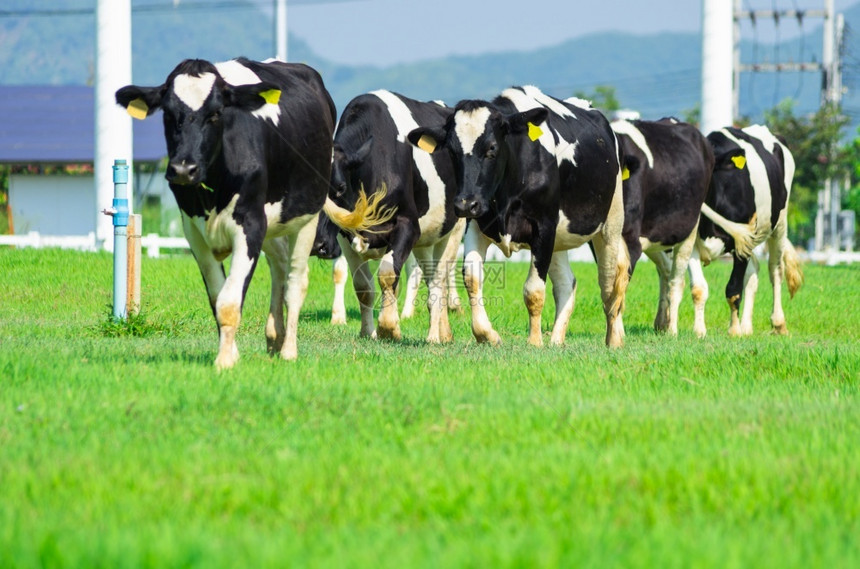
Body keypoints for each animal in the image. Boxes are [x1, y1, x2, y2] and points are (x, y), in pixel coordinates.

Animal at [116, 57, 336, 368]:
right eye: (168, 113)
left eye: (216, 113)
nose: (183, 169)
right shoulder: (193, 231)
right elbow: (216, 297)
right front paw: (231, 353)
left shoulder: (251, 225)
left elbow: (230, 301)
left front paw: (223, 362)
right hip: (274, 225)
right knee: (279, 269)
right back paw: (274, 336)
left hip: (307, 216)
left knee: (296, 281)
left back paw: (288, 350)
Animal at [322, 89, 466, 342]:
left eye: (339, 188)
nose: (319, 245)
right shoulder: (344, 237)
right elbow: (363, 286)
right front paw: (368, 332)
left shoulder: (407, 225)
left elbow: (388, 274)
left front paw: (389, 328)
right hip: (425, 239)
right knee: (429, 276)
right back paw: (444, 332)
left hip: (453, 229)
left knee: (439, 279)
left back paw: (434, 337)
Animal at [406, 86, 628, 348]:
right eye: (451, 151)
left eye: (492, 148)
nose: (464, 203)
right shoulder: (476, 224)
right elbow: (472, 278)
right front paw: (487, 334)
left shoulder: (544, 227)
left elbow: (534, 290)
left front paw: (534, 341)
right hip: (560, 238)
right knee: (566, 283)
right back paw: (556, 340)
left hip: (611, 223)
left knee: (609, 282)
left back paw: (613, 339)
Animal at [616, 117, 716, 336]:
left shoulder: (630, 241)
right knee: (666, 272)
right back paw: (663, 322)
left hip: (688, 231)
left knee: (676, 281)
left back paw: (674, 330)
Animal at [688, 124, 804, 336]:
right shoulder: (691, 242)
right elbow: (698, 288)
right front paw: (699, 331)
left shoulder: (740, 242)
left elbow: (733, 289)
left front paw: (734, 331)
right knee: (754, 271)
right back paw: (747, 326)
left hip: (780, 224)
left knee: (776, 270)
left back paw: (778, 323)